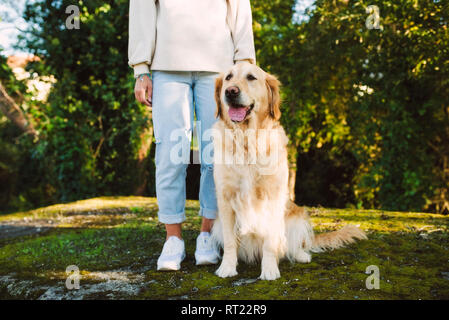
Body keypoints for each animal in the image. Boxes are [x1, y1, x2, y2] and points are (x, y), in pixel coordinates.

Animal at [208, 62, 366, 280]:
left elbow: (270, 242)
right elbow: (231, 241)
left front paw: (269, 270)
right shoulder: (225, 198)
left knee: (292, 245)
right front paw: (227, 268)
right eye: (228, 78)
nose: (230, 92)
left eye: (251, 77)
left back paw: (300, 255)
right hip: (216, 225)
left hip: (297, 217)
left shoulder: (272, 198)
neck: (247, 140)